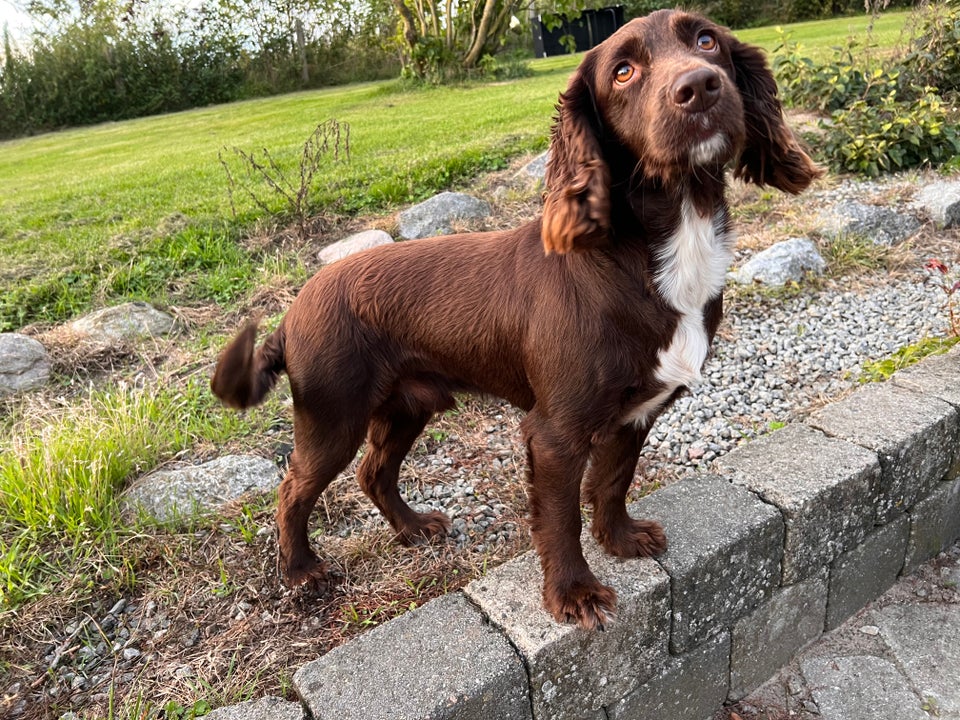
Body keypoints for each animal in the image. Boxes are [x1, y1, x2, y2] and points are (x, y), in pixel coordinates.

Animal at [214, 11, 820, 632]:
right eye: (623, 72)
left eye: (706, 41)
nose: (699, 86)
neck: (660, 248)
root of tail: (291, 313)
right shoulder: (554, 433)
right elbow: (559, 517)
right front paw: (574, 593)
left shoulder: (635, 413)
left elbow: (613, 480)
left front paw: (620, 539)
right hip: (334, 414)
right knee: (292, 489)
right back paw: (301, 571)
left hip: (408, 405)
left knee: (372, 473)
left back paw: (412, 529)